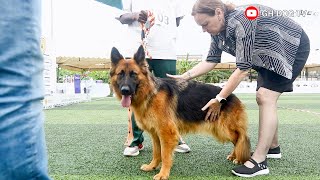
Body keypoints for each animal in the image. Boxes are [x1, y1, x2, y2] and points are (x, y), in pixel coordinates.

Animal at [111, 45, 251, 179]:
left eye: (134, 74)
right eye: (120, 74)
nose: (125, 90)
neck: (150, 93)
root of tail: (233, 96)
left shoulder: (166, 133)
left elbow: (165, 155)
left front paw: (163, 174)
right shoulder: (156, 134)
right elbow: (156, 153)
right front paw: (152, 166)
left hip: (223, 130)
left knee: (241, 138)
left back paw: (240, 157)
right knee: (238, 140)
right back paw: (234, 156)